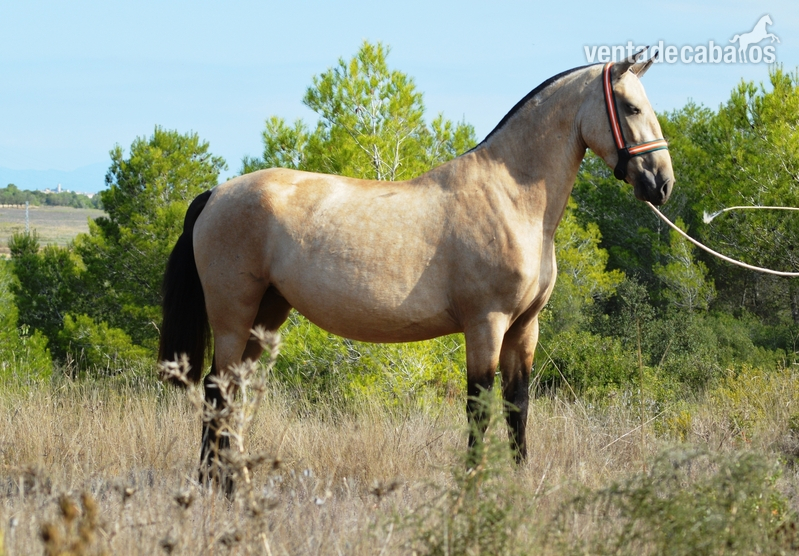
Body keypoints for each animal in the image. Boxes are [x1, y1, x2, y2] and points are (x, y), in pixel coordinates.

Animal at [159, 51, 674, 486]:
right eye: (630, 108)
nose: (662, 184)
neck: (510, 197)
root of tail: (215, 194)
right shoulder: (485, 323)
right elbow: (479, 407)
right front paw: (472, 486)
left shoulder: (525, 327)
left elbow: (518, 406)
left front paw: (519, 484)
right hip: (234, 315)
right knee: (216, 392)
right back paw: (216, 486)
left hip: (267, 313)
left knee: (231, 395)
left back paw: (232, 482)